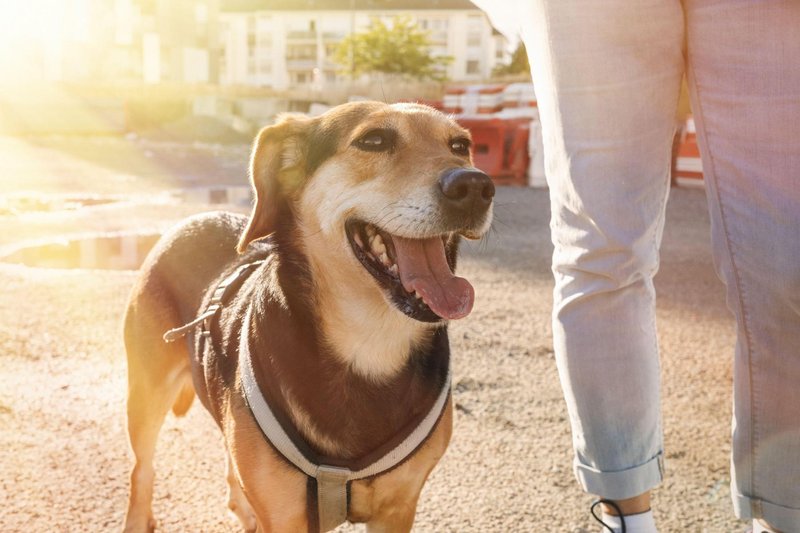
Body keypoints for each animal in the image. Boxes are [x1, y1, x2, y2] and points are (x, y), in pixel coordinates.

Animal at [122, 101, 494, 532]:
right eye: (374, 140)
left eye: (460, 146)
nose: (476, 186)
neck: (368, 344)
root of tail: (190, 219)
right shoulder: (284, 517)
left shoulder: (399, 508)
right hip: (146, 396)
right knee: (142, 469)